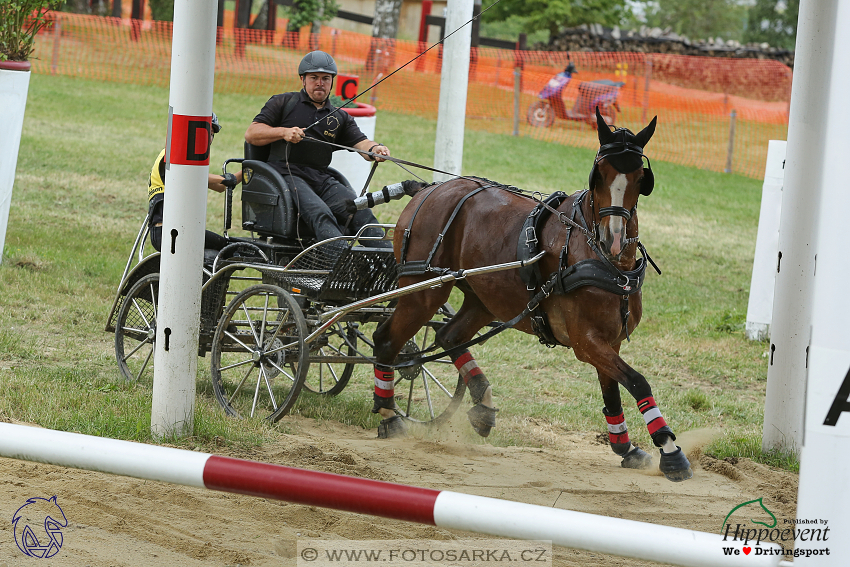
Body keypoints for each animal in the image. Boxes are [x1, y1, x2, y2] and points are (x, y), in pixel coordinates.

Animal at [370, 110, 688, 484]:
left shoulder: (609, 342)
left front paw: (625, 447)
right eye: (600, 175)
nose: (613, 239)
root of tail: (430, 189)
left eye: (640, 178)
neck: (605, 263)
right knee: (387, 341)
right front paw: (669, 449)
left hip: (483, 297)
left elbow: (612, 392)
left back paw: (482, 405)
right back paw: (390, 416)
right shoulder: (586, 342)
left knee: (448, 335)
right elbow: (638, 382)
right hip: (423, 291)